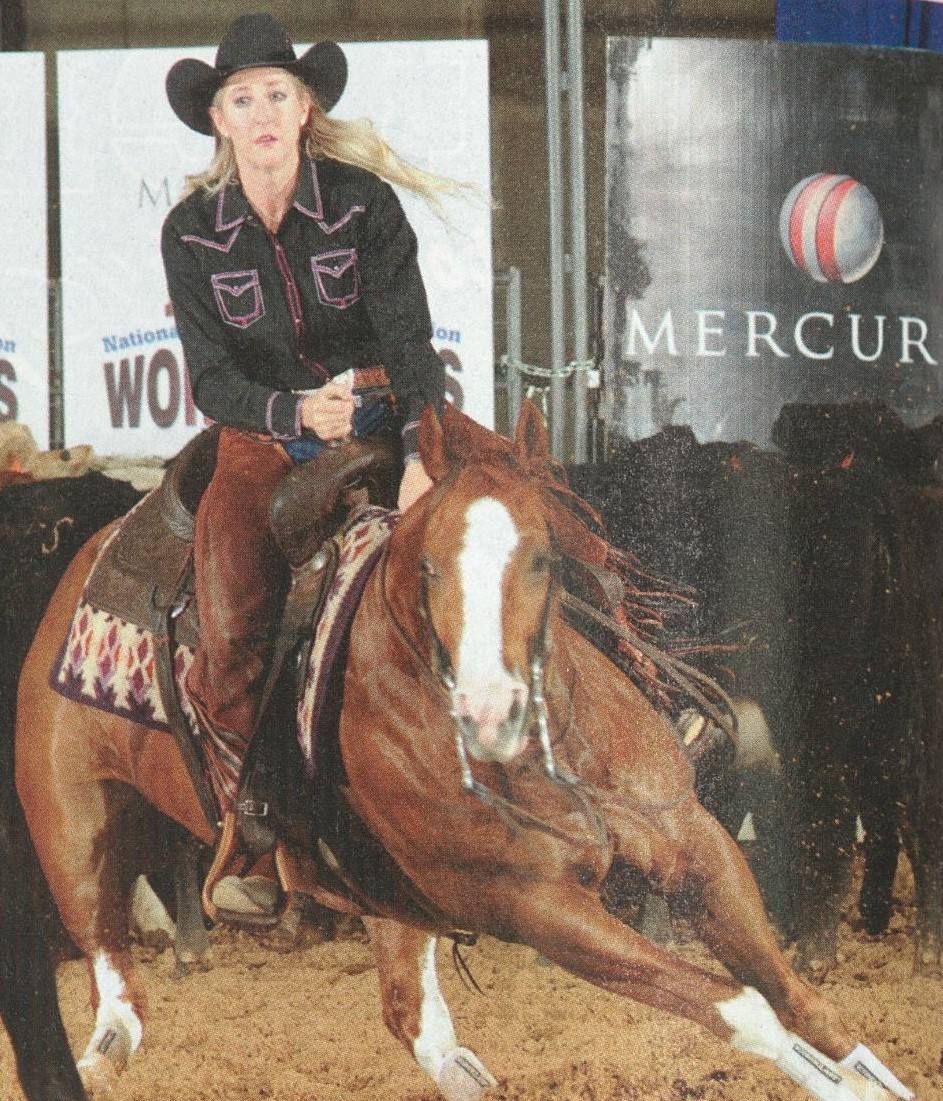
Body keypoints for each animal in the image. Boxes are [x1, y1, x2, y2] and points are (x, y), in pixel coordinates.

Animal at [15, 403, 914, 1101]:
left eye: (545, 552)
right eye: (430, 566)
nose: (488, 707)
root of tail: (89, 557)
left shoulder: (692, 840)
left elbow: (797, 999)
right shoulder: (536, 905)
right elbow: (741, 1007)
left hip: (386, 894)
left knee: (412, 1019)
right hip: (73, 825)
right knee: (116, 993)